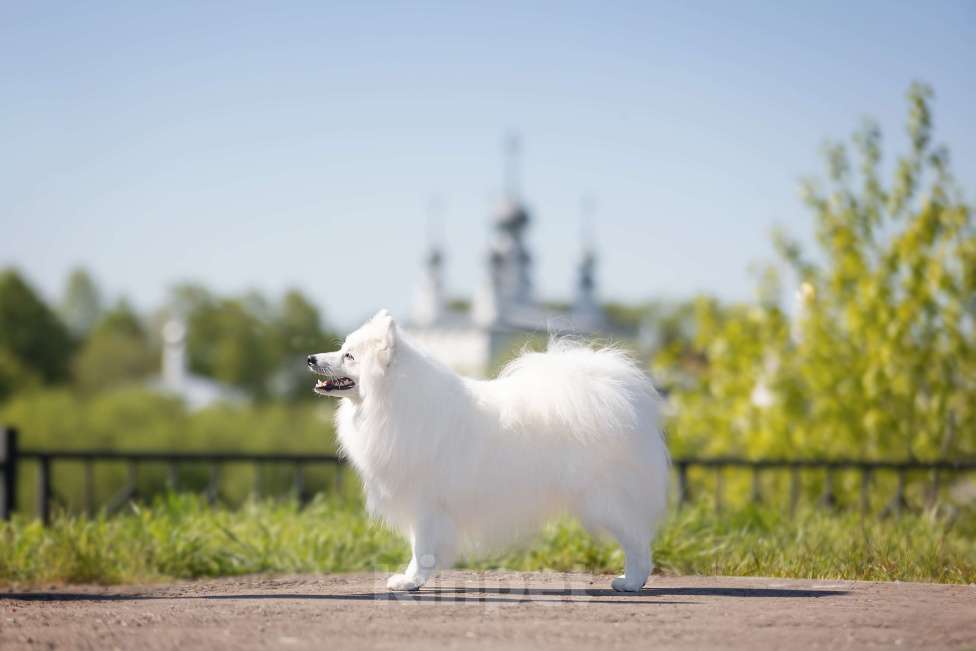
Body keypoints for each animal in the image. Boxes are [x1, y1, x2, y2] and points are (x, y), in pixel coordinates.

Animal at [306, 310, 672, 592]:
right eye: (342, 349)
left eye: (349, 356)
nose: (310, 358)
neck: (394, 400)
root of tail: (621, 398)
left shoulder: (426, 502)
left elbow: (421, 548)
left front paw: (411, 581)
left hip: (605, 500)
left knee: (637, 541)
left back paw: (631, 581)